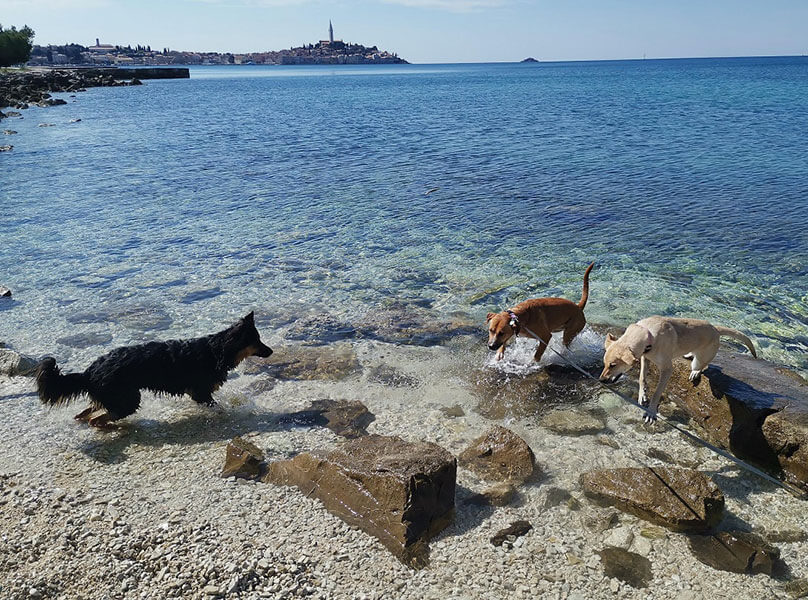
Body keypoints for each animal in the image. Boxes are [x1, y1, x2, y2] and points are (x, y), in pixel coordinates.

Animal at [36, 311, 272, 428]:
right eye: (257, 341)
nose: (271, 351)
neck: (218, 350)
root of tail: (88, 372)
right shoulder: (201, 392)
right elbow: (217, 406)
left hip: (113, 397)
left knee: (87, 413)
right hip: (129, 399)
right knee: (99, 419)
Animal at [599, 316, 756, 423]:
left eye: (613, 365)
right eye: (605, 363)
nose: (601, 380)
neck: (648, 333)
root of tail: (715, 329)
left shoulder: (667, 370)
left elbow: (657, 392)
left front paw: (651, 411)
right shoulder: (645, 358)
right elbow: (642, 378)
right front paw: (642, 396)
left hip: (700, 360)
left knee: (702, 366)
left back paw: (695, 371)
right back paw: (688, 354)